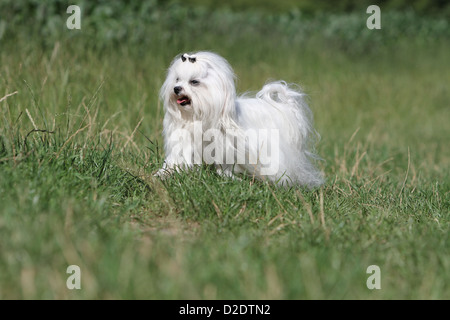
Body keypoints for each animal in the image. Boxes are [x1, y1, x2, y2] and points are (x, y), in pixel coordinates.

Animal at [156, 50, 324, 188]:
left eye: (194, 82)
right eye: (177, 79)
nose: (176, 88)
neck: (197, 117)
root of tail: (283, 107)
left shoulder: (225, 148)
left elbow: (224, 166)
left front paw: (227, 178)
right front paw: (162, 174)